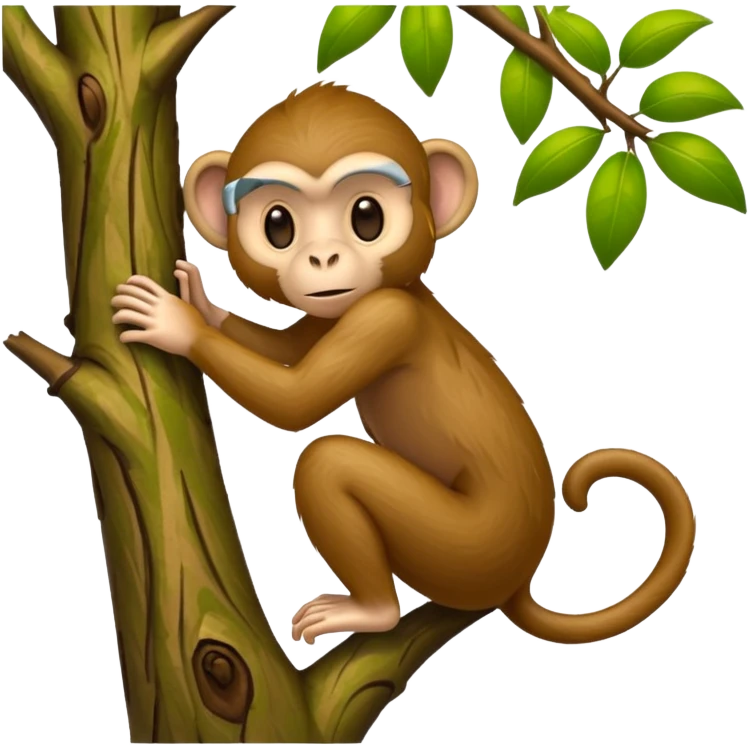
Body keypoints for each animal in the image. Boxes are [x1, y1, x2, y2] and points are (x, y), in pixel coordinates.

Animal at [110, 81, 696, 646]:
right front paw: (203, 306)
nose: (323, 258)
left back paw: (375, 612)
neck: (405, 290)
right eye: (279, 225)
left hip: (461, 548)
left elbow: (296, 403)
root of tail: (519, 575)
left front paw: (178, 324)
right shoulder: (336, 314)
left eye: (366, 217)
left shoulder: (385, 318)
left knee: (330, 463)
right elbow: (288, 350)